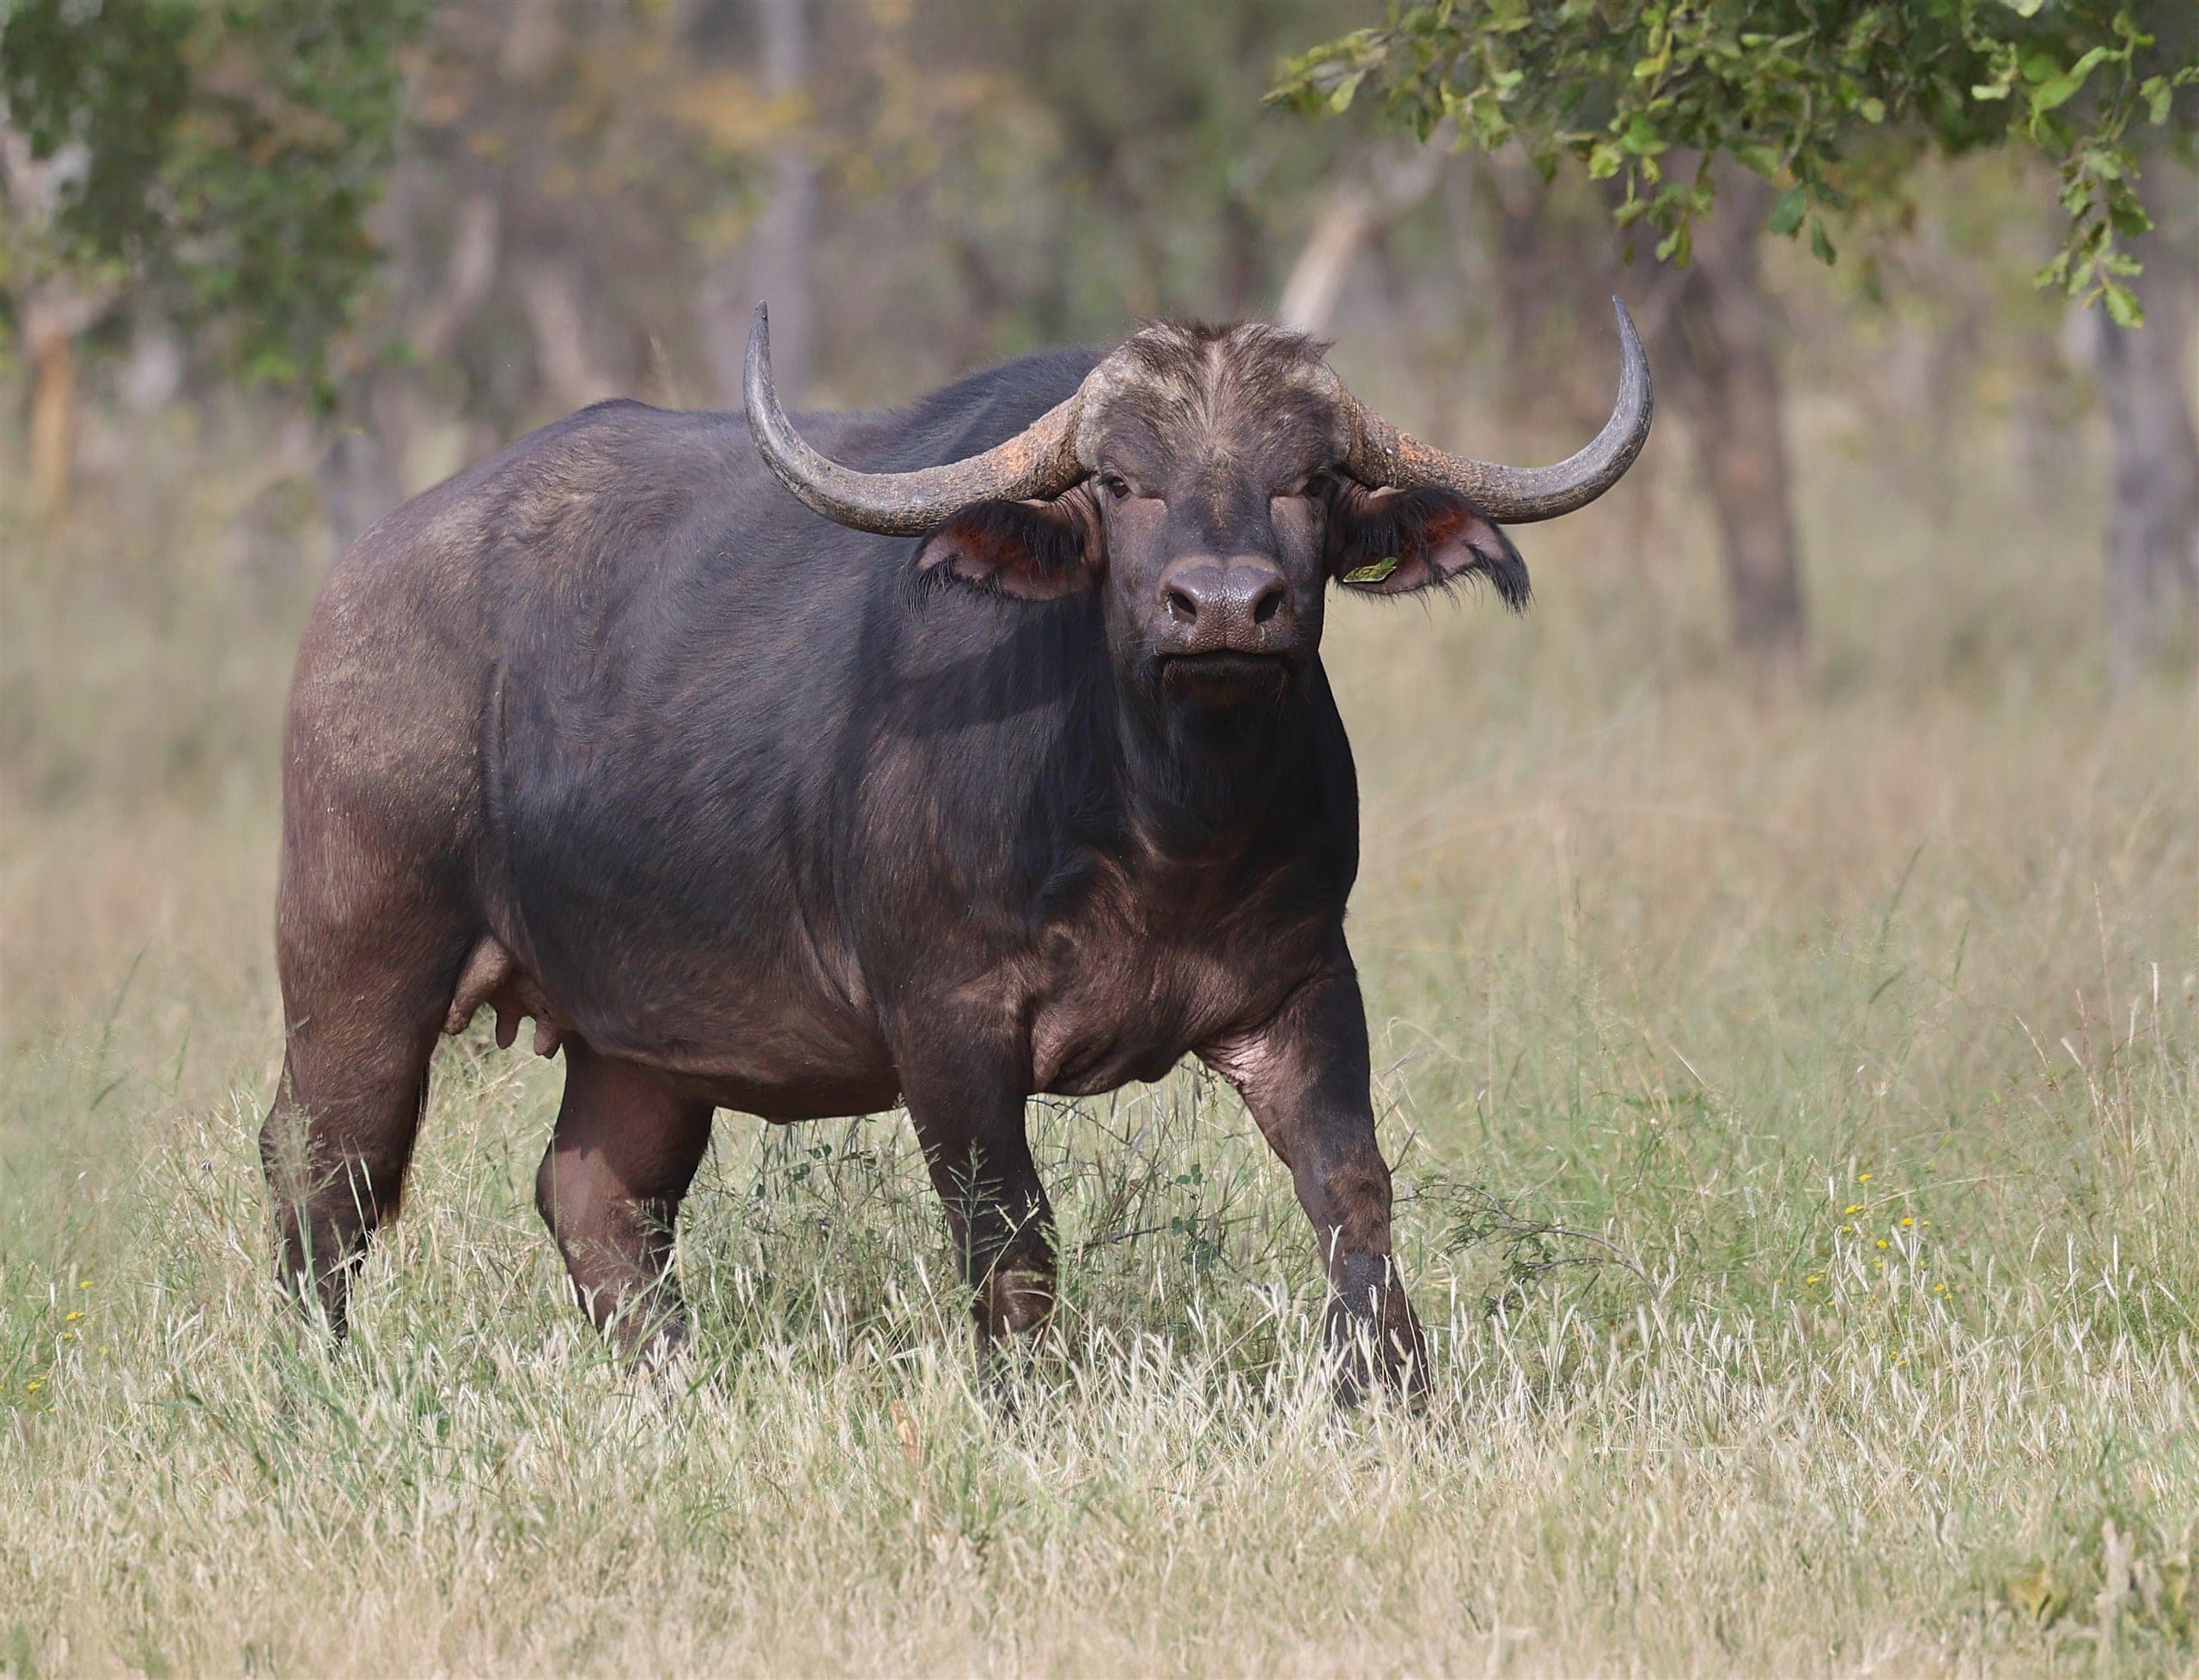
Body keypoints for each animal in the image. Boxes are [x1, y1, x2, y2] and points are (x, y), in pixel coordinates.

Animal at [263, 300, 1650, 1397]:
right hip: (359, 969)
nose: (1223, 607)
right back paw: (307, 1377)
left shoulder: (1303, 987)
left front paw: (1394, 1397)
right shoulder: (948, 1027)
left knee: (595, 1198)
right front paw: (1026, 1407)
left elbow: (1354, 1197)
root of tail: (353, 590)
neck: (1159, 830)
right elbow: (1012, 1240)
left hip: (641, 1039)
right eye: (1120, 482)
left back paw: (670, 1383)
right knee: (324, 1171)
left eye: (1308, 480)